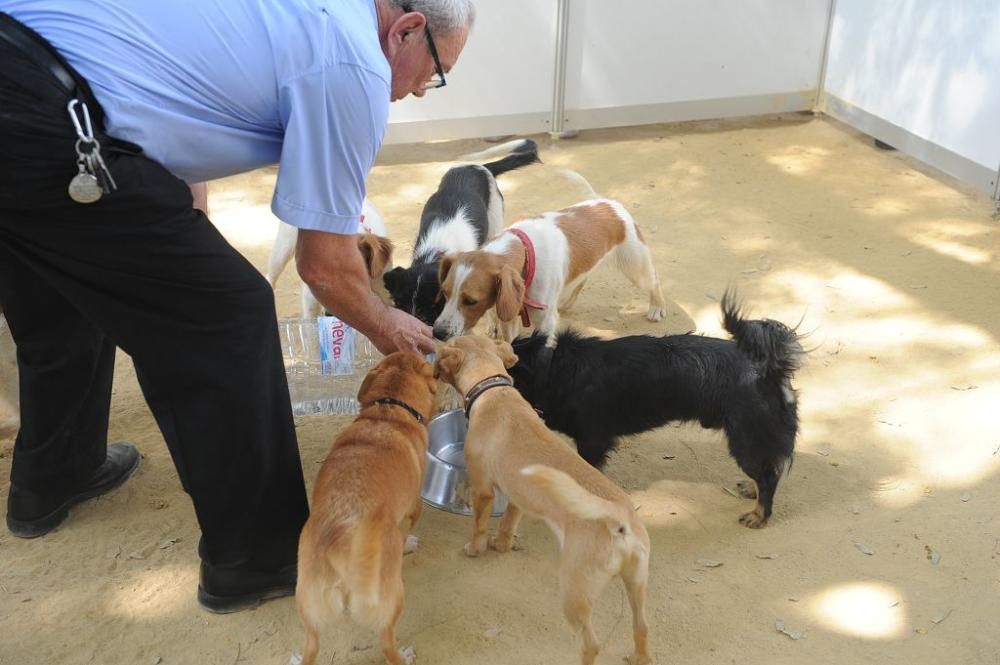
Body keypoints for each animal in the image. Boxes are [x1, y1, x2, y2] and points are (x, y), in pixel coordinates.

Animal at [294, 352, 440, 664]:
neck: (389, 408)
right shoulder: (413, 508)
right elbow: (408, 530)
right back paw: (404, 655)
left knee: (310, 649)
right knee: (387, 646)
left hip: (309, 612)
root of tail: (341, 544)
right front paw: (408, 543)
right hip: (392, 601)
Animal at [430, 197, 664, 342]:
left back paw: (656, 308)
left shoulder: (545, 323)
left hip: (636, 267)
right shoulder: (509, 316)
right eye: (445, 292)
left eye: (471, 301)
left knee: (654, 280)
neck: (525, 252)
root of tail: (609, 203)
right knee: (581, 280)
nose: (437, 333)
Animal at [436, 338, 656, 664]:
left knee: (592, 644)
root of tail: (618, 519)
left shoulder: (483, 489)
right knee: (641, 627)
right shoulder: (517, 495)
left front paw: (475, 549)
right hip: (637, 584)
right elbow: (508, 523)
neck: (494, 391)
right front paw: (502, 545)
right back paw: (641, 657)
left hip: (575, 593)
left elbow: (479, 526)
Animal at [508, 290, 804, 528]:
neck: (551, 367)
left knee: (768, 478)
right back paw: (751, 491)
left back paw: (759, 515)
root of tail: (770, 371)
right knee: (767, 471)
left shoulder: (592, 441)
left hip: (744, 441)